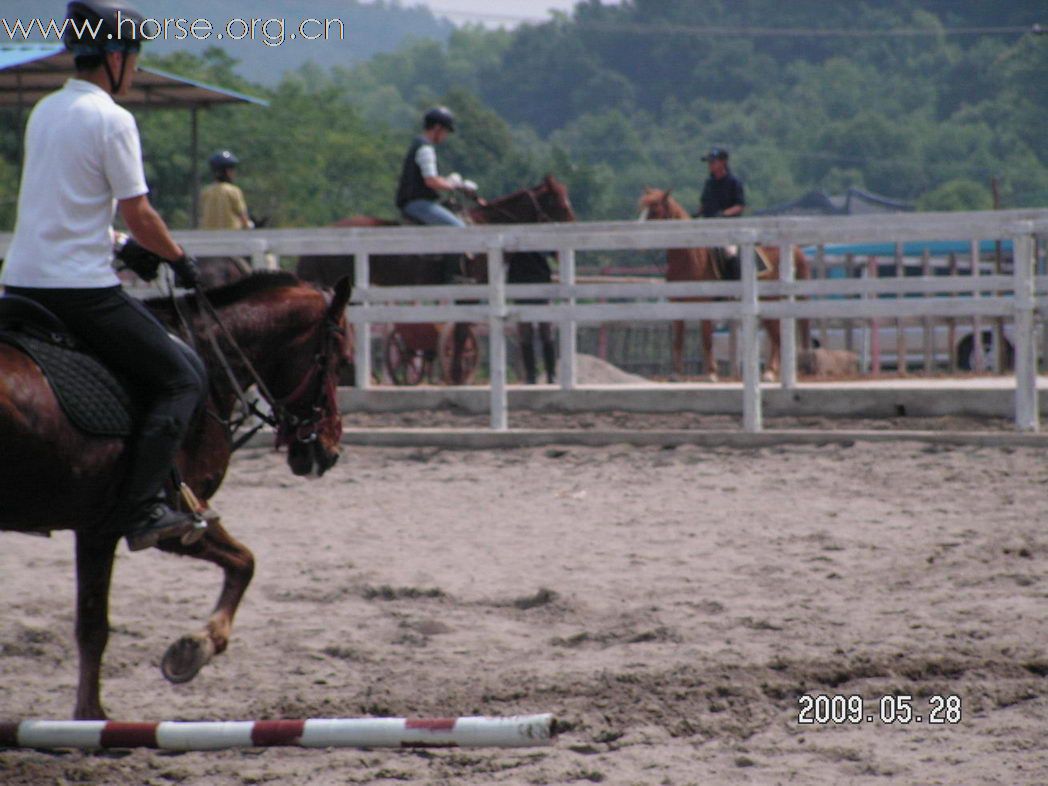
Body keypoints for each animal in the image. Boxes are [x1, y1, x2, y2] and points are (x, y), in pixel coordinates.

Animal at [0, 270, 352, 721]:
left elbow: (91, 626)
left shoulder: (97, 528)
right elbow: (245, 563)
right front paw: (196, 647)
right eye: (340, 361)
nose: (327, 451)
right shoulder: (173, 521)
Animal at [632, 186, 813, 379]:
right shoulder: (678, 304)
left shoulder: (703, 304)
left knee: (778, 337)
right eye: (641, 209)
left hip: (771, 302)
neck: (690, 256)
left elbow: (706, 338)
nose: (636, 241)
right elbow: (678, 339)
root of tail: (794, 251)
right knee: (776, 336)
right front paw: (676, 374)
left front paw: (711, 373)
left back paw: (770, 372)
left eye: (654, 210)